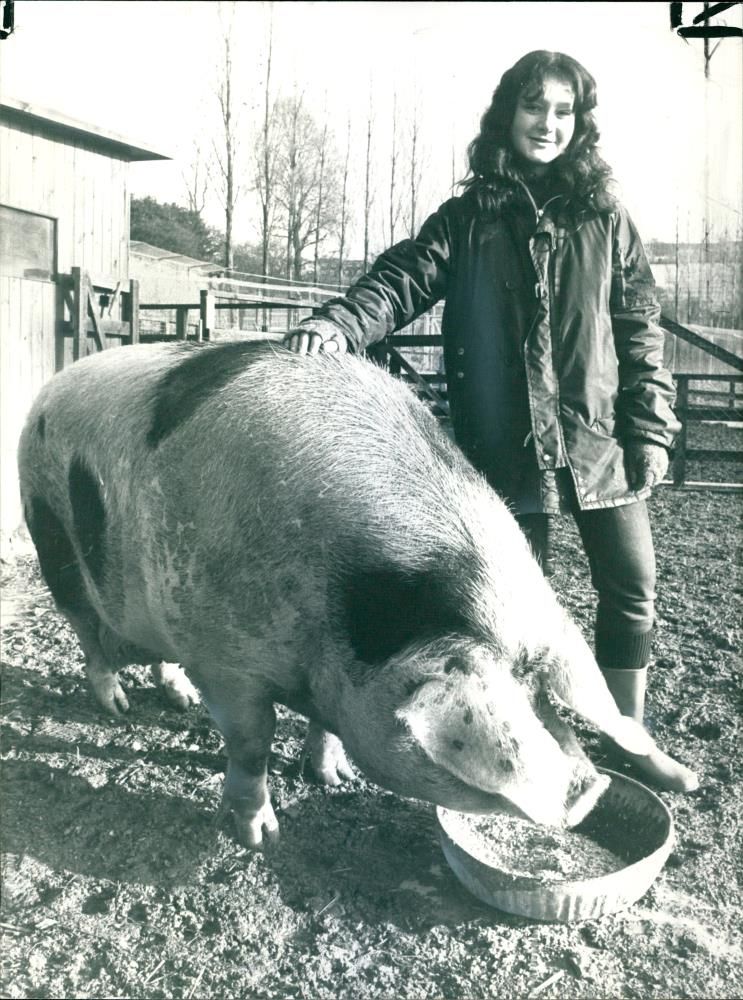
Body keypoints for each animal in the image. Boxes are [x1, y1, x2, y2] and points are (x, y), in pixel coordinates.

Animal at [18, 340, 656, 848]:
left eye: (543, 693)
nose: (590, 788)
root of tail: (50, 387)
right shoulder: (224, 660)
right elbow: (252, 742)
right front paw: (260, 838)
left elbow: (321, 730)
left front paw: (334, 779)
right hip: (49, 529)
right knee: (87, 632)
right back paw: (117, 706)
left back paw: (177, 700)